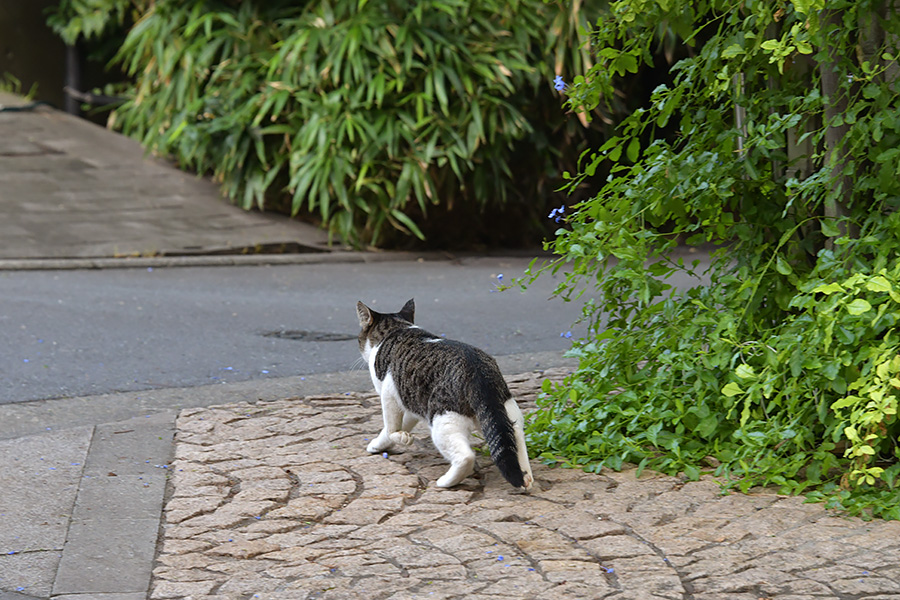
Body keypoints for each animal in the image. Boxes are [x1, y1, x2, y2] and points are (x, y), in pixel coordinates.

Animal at [356, 298, 536, 490]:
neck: (398, 328)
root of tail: (478, 370)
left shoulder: (389, 393)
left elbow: (391, 427)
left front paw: (400, 438)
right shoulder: (411, 403)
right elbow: (399, 426)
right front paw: (381, 444)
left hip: (443, 420)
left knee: (466, 457)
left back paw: (446, 482)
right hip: (505, 413)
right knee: (514, 437)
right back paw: (526, 477)